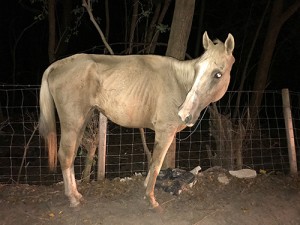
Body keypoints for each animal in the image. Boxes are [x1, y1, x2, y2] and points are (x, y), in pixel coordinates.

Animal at [38, 30, 234, 208]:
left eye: (218, 74)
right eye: (197, 70)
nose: (184, 113)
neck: (178, 82)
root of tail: (57, 65)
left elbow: (154, 162)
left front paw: (146, 187)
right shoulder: (165, 132)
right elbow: (157, 163)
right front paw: (151, 198)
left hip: (81, 121)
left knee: (70, 156)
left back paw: (77, 194)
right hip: (72, 123)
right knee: (65, 156)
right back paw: (72, 198)